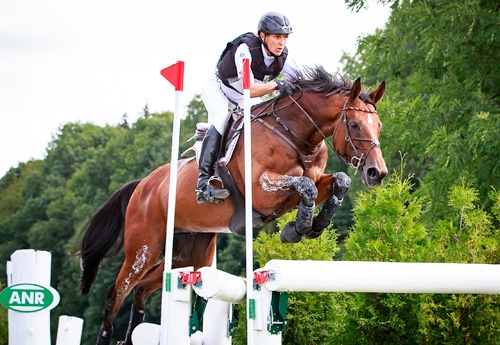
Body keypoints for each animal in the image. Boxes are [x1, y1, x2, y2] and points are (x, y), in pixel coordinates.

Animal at [77, 65, 386, 344]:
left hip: (189, 254)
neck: (295, 134)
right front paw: (296, 229)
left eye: (379, 126)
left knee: (142, 289)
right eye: (354, 124)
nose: (377, 173)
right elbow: (305, 186)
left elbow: (338, 181)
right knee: (115, 296)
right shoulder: (263, 190)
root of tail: (144, 184)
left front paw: (312, 226)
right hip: (144, 247)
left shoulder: (313, 181)